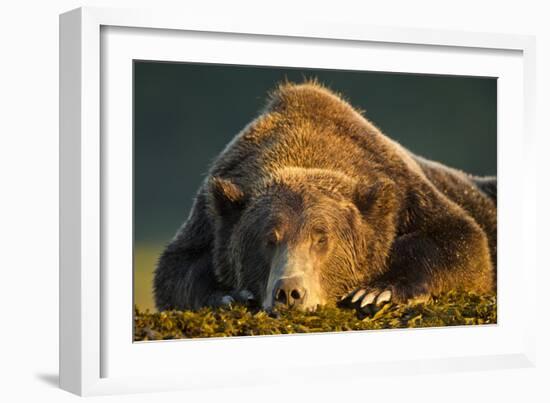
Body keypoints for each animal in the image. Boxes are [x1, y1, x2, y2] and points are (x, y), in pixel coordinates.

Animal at [153, 81, 498, 312]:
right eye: (269, 239)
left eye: (321, 239)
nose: (289, 292)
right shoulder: (210, 216)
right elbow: (176, 270)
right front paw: (230, 295)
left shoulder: (405, 192)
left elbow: (462, 243)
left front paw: (376, 292)